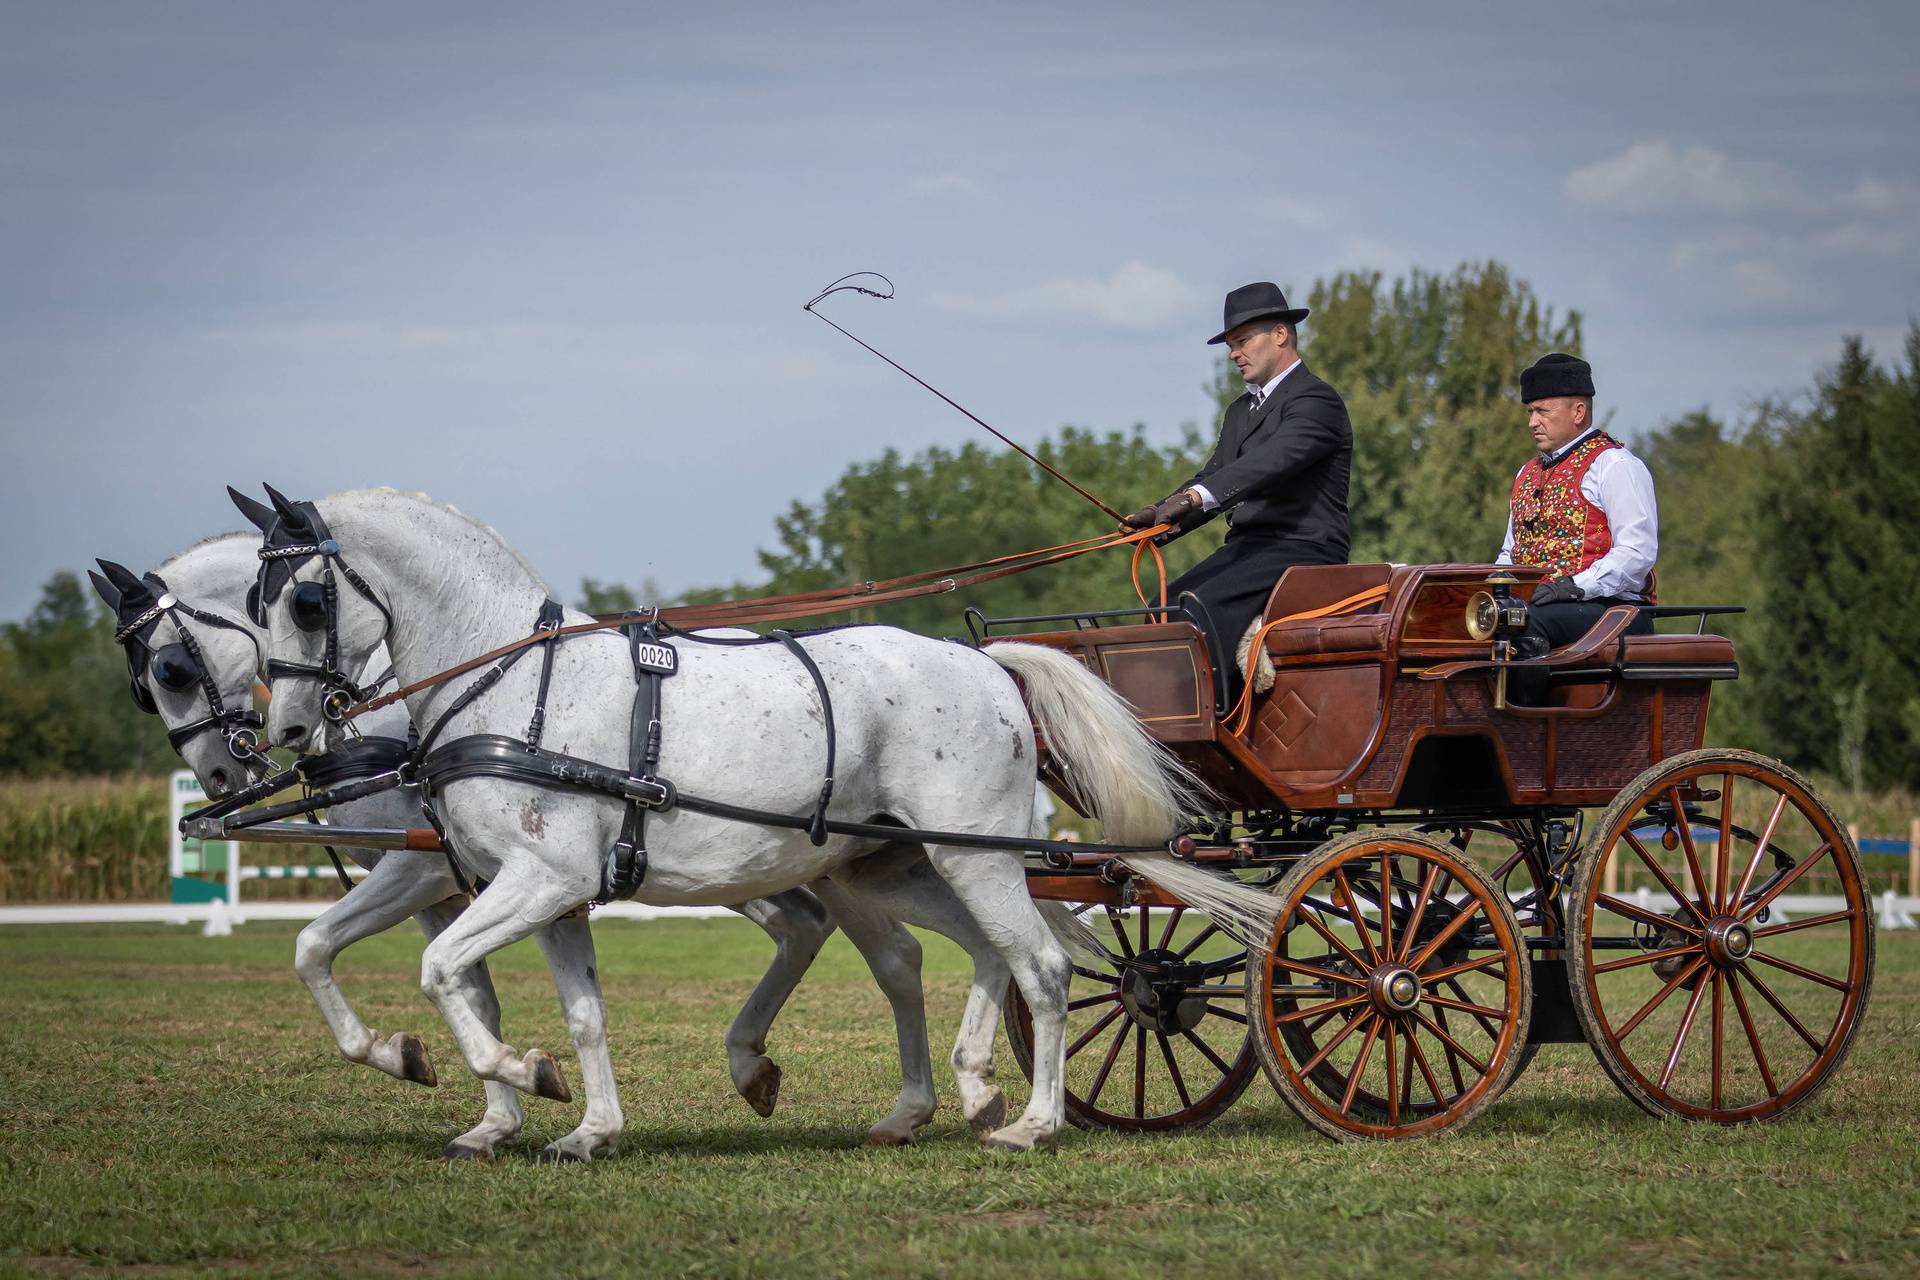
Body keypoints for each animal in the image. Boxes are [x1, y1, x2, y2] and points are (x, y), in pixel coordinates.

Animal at [247, 485, 1228, 1159]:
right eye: (256, 604)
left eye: (304, 600)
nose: (286, 732)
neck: (514, 685)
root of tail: (986, 664)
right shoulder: (544, 892)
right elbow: (574, 1010)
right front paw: (580, 1123)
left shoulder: (539, 879)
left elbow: (441, 969)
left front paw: (520, 1073)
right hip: (897, 866)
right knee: (973, 955)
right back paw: (962, 1093)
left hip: (973, 856)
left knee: (1044, 967)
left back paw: (1032, 1121)